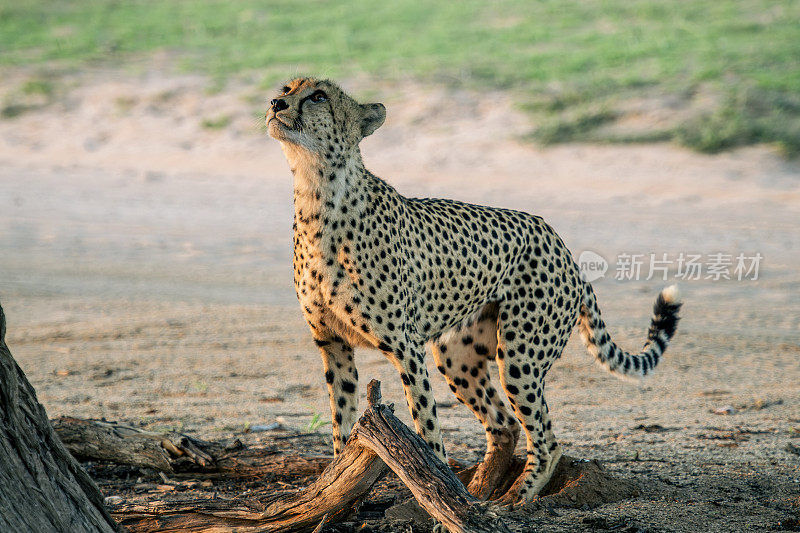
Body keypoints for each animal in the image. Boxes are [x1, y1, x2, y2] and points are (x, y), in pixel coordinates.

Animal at [268, 78, 680, 502]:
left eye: (318, 96)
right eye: (286, 87)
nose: (275, 103)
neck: (316, 191)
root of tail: (562, 245)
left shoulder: (406, 347)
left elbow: (427, 426)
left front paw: (431, 490)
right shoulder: (333, 345)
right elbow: (342, 424)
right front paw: (332, 485)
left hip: (519, 358)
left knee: (546, 440)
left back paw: (514, 499)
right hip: (457, 356)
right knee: (504, 424)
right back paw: (479, 490)